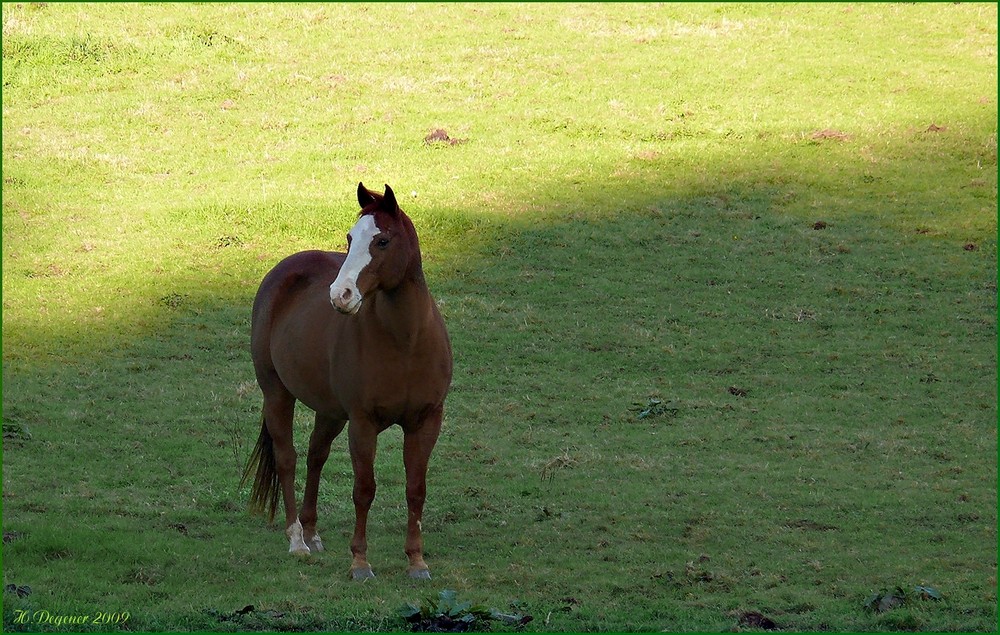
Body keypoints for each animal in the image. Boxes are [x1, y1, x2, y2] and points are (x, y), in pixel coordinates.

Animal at [244, 183, 456, 580]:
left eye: (382, 240)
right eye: (349, 238)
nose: (340, 295)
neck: (406, 342)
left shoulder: (426, 421)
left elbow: (416, 489)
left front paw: (416, 561)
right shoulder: (363, 423)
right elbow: (364, 489)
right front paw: (360, 562)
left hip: (330, 412)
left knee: (316, 455)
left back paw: (312, 533)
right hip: (277, 393)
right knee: (287, 458)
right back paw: (297, 539)